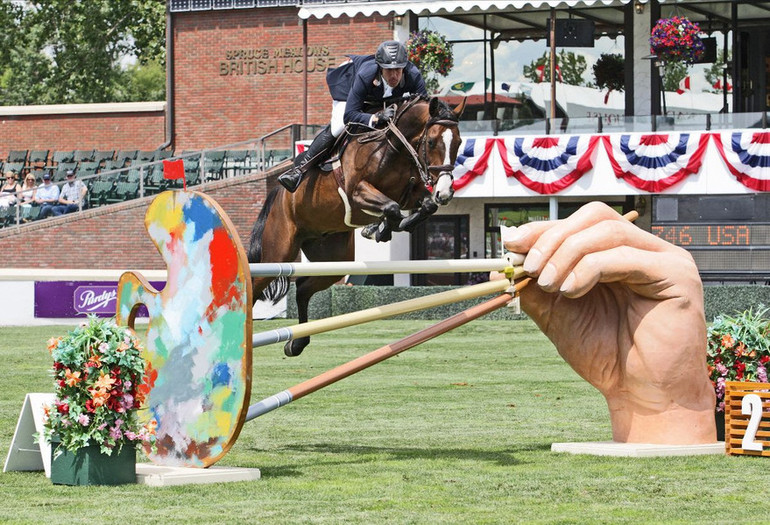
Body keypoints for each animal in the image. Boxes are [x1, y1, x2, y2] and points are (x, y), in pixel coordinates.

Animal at [249, 94, 464, 356]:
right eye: (432, 142)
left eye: (459, 142)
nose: (445, 192)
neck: (393, 149)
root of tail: (278, 194)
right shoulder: (357, 192)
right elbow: (392, 207)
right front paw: (379, 229)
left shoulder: (411, 193)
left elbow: (423, 206)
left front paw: (383, 228)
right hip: (279, 252)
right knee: (255, 286)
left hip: (332, 259)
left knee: (302, 287)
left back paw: (297, 343)